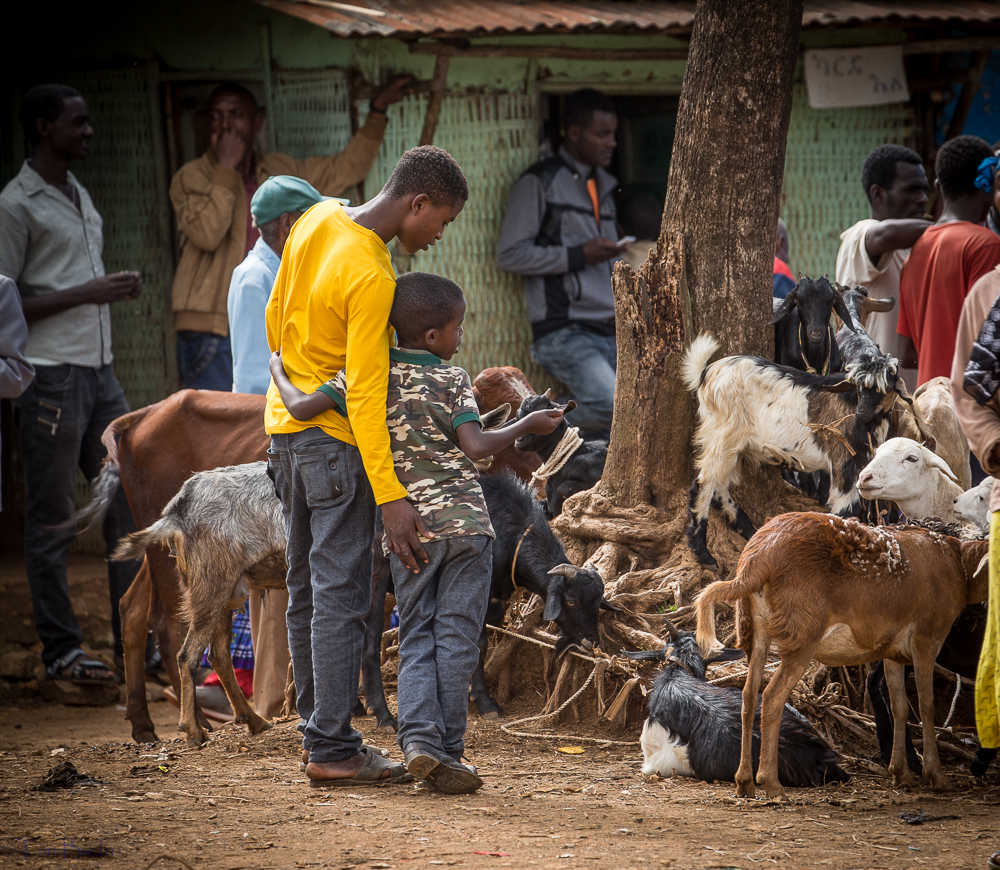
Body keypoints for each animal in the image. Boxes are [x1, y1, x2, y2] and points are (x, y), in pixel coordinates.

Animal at [684, 334, 912, 572]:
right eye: (859, 387)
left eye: (884, 388)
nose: (861, 411)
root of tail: (706, 372)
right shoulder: (842, 460)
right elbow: (846, 509)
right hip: (721, 435)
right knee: (703, 485)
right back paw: (705, 556)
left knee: (719, 487)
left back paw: (749, 530)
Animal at [696, 510, 992, 804]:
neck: (960, 565)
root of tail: (759, 558)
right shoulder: (927, 636)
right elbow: (926, 706)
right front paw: (937, 776)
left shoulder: (894, 651)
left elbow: (899, 706)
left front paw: (902, 774)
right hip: (803, 632)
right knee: (772, 697)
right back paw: (771, 784)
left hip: (753, 628)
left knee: (749, 696)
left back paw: (744, 782)